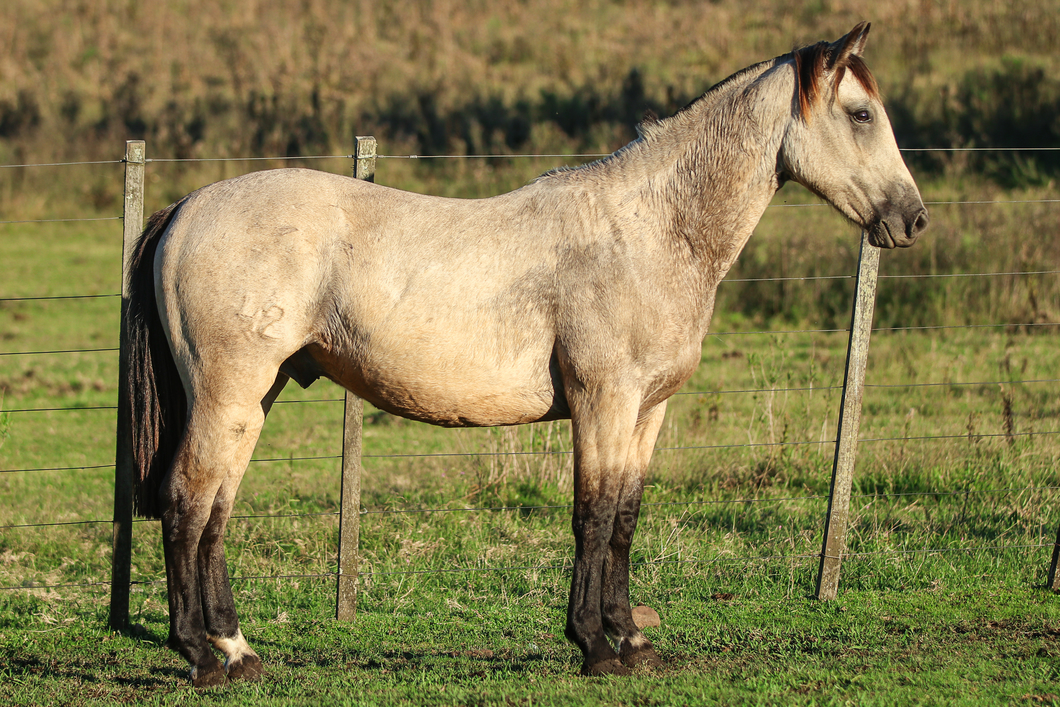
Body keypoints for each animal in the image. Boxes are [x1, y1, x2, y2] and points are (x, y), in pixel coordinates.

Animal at [124, 22, 928, 686]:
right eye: (861, 114)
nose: (912, 219)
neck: (650, 230)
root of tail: (187, 208)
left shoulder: (647, 412)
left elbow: (625, 517)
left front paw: (634, 642)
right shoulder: (603, 402)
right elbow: (592, 515)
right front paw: (595, 647)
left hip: (252, 397)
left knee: (216, 509)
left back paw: (237, 650)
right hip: (230, 394)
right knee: (188, 502)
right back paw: (205, 658)